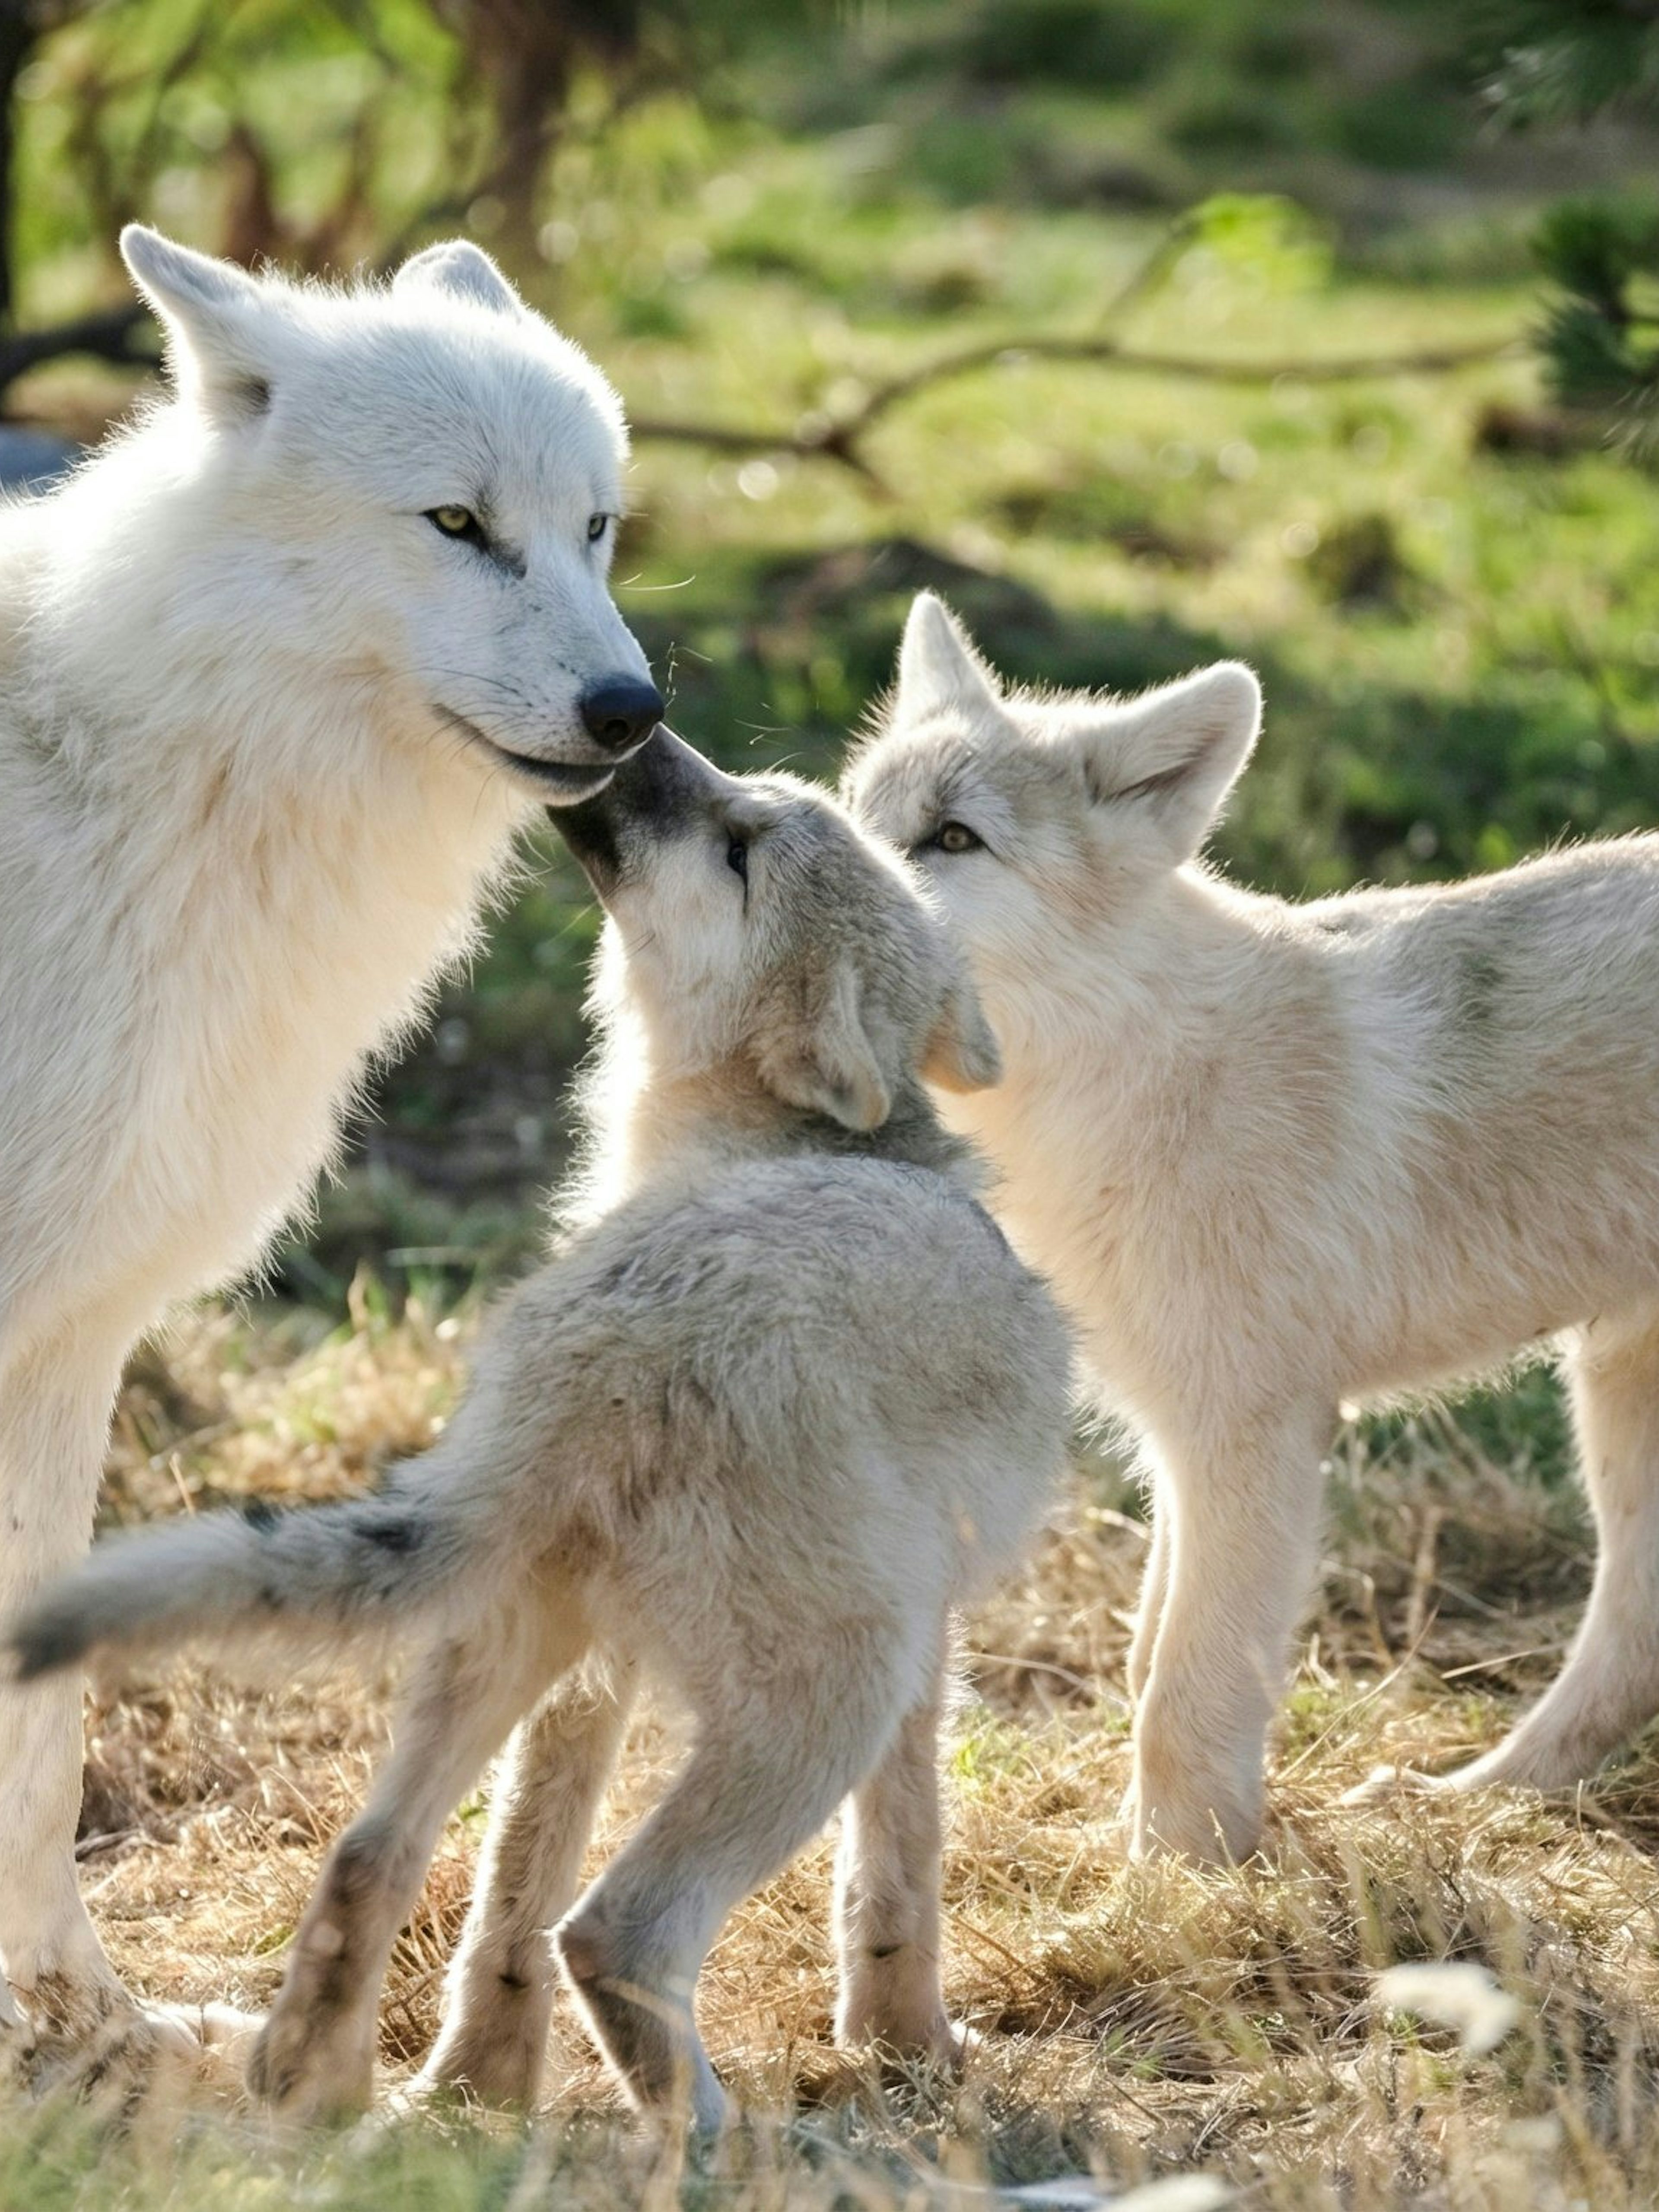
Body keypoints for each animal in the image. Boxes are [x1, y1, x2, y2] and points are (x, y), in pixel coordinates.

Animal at [0, 225, 663, 2081]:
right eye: (456, 523)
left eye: (595, 527)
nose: (632, 707)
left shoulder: (69, 1341)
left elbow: (44, 1735)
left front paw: (88, 2016)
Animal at [6, 730, 1072, 2128]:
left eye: (737, 840)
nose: (645, 728)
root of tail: (602, 1344)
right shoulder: (923, 1653)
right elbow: (897, 1871)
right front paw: (911, 2052)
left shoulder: (599, 1678)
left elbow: (508, 1901)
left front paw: (483, 2086)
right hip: (830, 1689)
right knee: (614, 1925)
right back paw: (709, 2137)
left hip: (509, 1636)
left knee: (375, 1858)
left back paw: (330, 2088)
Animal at [846, 589, 1659, 1864]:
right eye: (854, 807)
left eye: (952, 839)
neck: (1134, 1077)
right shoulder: (1177, 1443)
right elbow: (1145, 1661)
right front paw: (1145, 1853)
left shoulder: (1248, 1434)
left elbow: (1184, 1691)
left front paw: (1172, 1877)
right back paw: (1470, 1801)